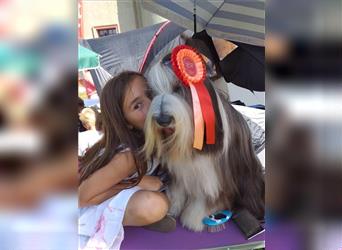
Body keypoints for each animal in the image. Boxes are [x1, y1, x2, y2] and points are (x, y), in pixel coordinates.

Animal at [144, 51, 264, 231]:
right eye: (151, 92)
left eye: (178, 88)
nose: (162, 120)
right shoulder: (178, 172)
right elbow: (178, 189)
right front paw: (173, 207)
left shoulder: (212, 176)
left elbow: (206, 197)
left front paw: (194, 218)